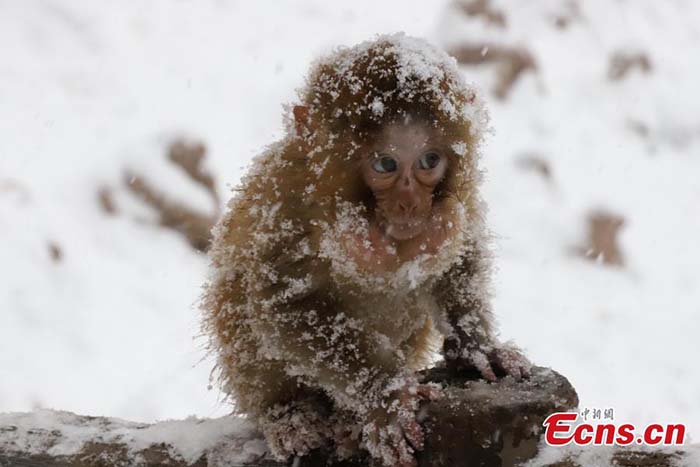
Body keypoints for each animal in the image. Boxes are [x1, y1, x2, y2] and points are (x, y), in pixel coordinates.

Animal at [201, 33, 532, 467]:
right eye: (386, 165)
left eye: (429, 160)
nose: (409, 204)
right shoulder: (287, 205)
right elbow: (284, 308)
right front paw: (385, 396)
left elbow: (460, 255)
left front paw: (476, 345)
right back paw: (288, 414)